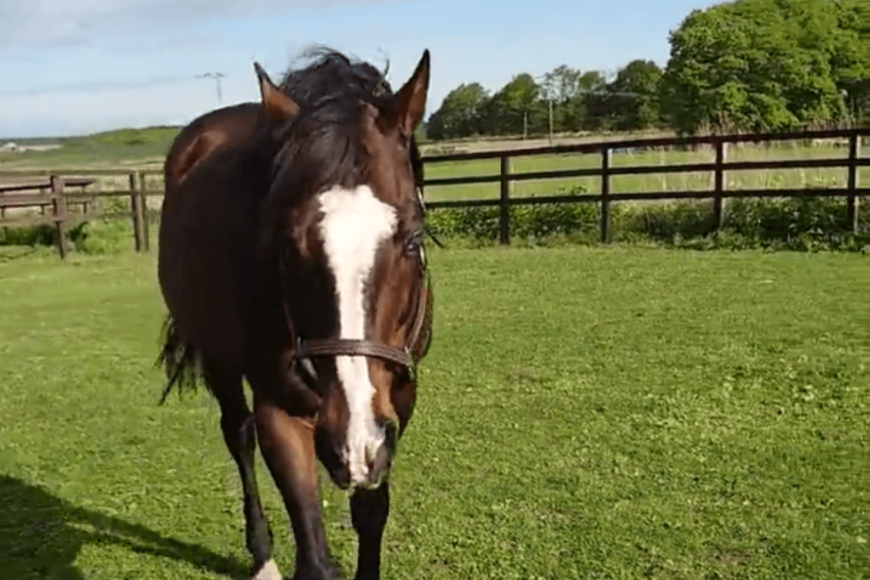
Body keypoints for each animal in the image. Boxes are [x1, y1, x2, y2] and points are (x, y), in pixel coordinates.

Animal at [158, 46, 436, 580]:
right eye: (285, 245)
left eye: (413, 239)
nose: (350, 435)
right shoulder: (282, 412)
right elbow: (313, 555)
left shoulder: (397, 404)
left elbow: (372, 512)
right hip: (220, 359)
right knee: (237, 434)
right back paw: (263, 558)